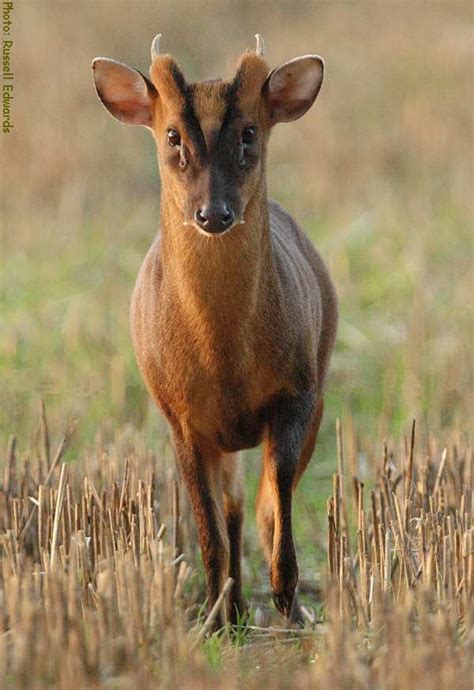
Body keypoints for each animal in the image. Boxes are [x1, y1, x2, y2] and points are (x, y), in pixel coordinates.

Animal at [92, 32, 336, 628]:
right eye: (172, 136)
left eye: (249, 132)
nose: (213, 213)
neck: (224, 358)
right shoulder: (180, 417)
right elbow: (209, 531)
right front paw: (214, 620)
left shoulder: (297, 392)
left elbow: (279, 511)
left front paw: (293, 611)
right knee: (232, 509)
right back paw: (233, 606)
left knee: (258, 506)